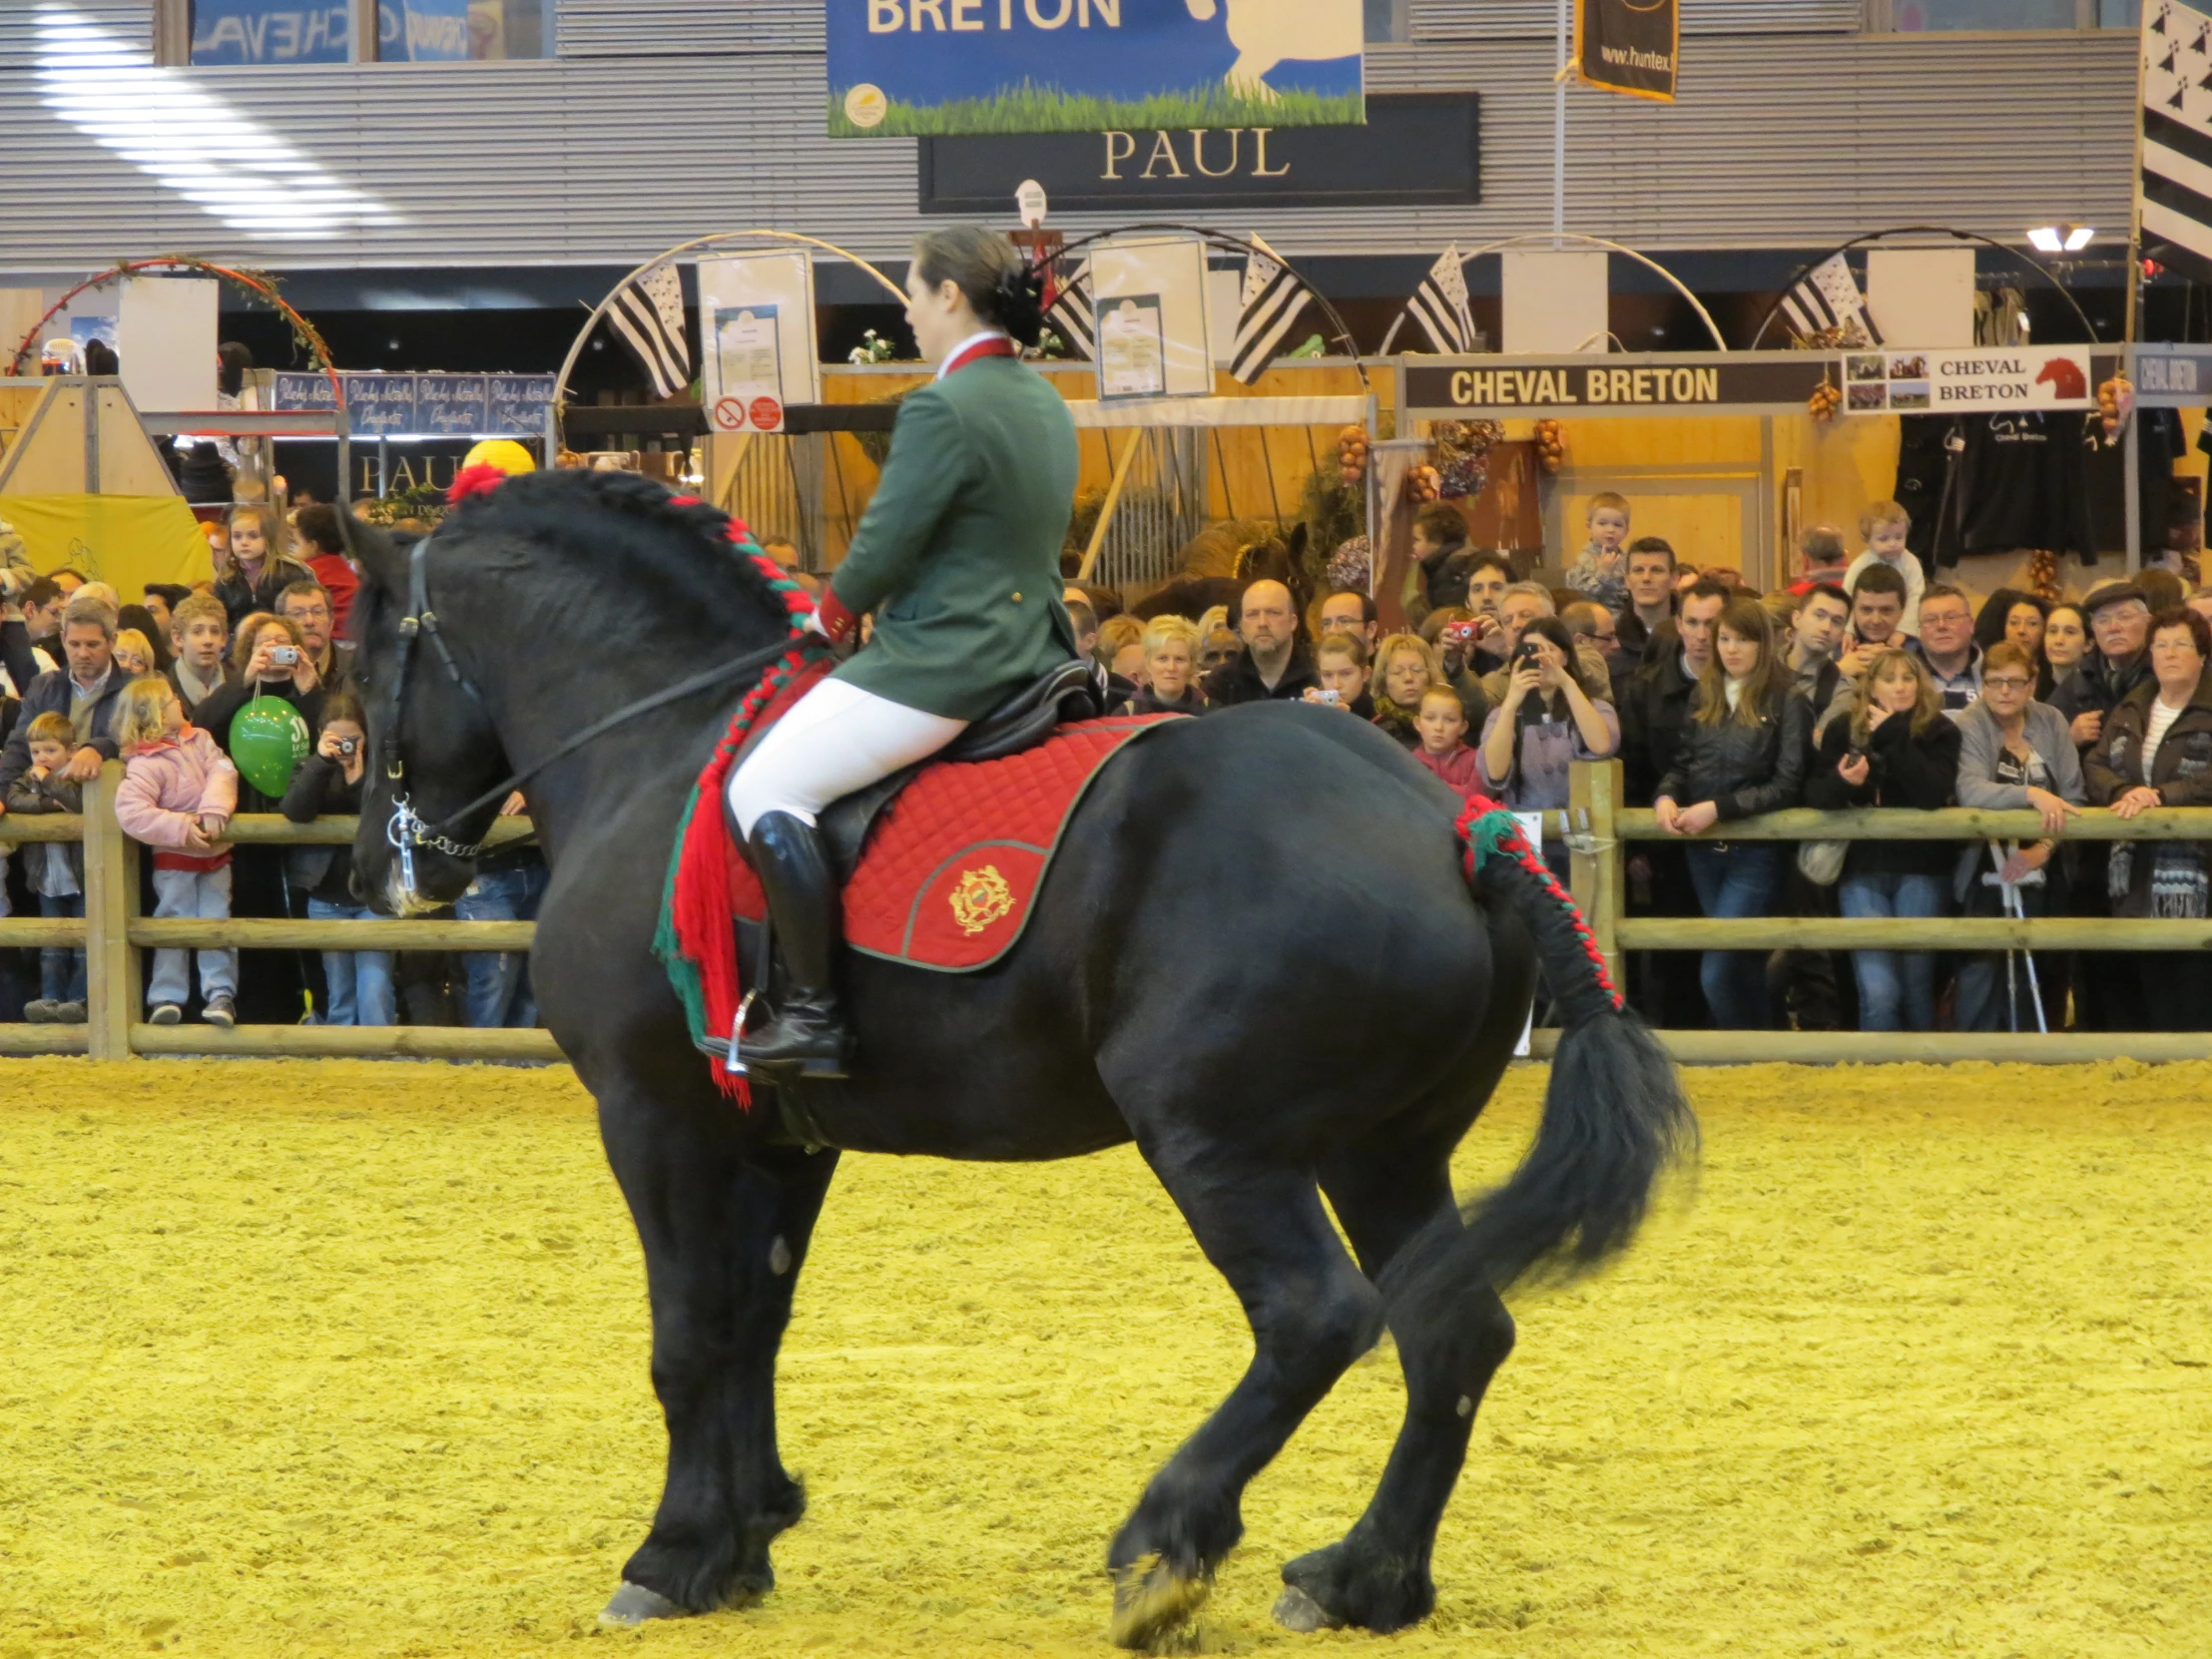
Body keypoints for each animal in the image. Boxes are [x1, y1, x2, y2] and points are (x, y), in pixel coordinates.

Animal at [340, 473, 1690, 1654]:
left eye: (359, 665)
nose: (374, 874)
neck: (662, 740)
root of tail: (1453, 821)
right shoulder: (778, 1136)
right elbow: (753, 1317)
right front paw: (745, 1536)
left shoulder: (652, 1114)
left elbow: (687, 1332)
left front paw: (670, 1557)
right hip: (1383, 1150)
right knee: (1450, 1329)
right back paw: (1362, 1578)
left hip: (1218, 1143)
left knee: (1318, 1316)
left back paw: (1164, 1546)